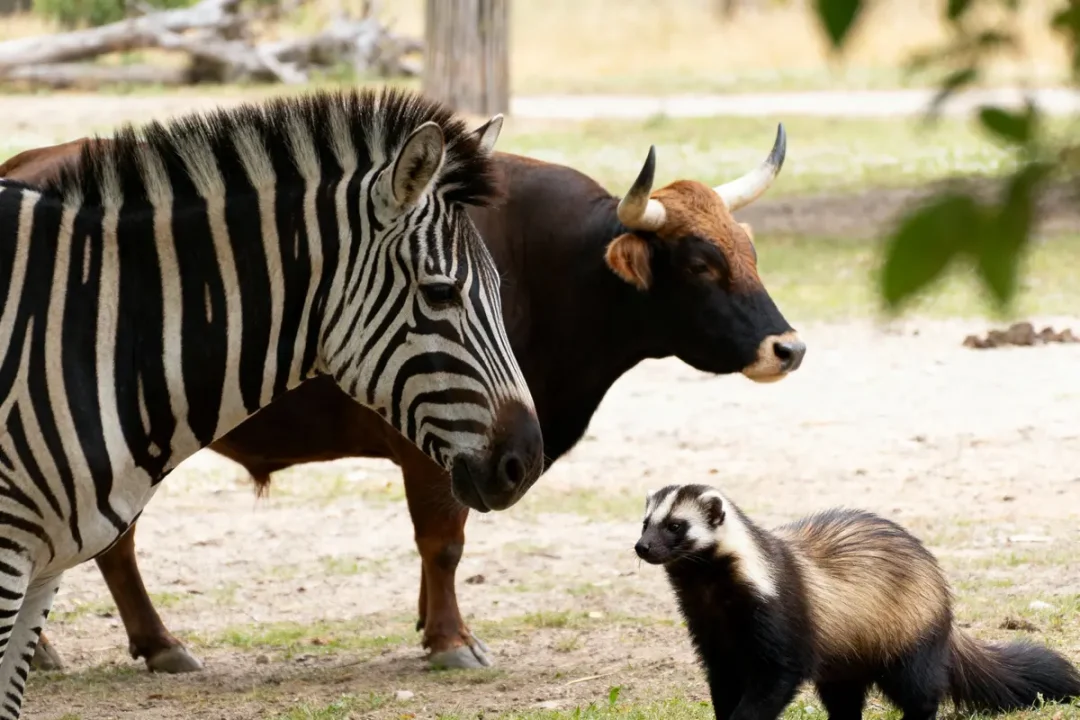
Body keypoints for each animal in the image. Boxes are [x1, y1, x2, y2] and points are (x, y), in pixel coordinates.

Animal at [0, 87, 543, 718]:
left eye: (501, 291)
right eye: (439, 294)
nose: (526, 463)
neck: (94, 331)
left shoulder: (46, 567)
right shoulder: (9, 558)